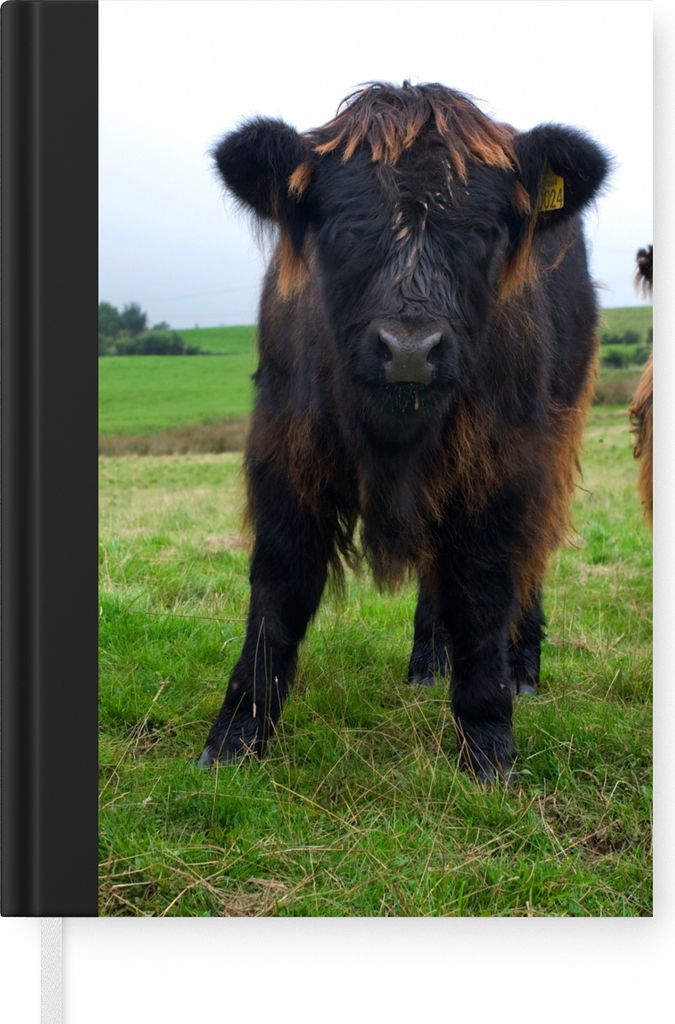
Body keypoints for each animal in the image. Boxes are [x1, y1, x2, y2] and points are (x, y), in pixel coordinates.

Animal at [199, 82, 609, 781]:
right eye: (344, 228)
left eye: (482, 232)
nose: (411, 351)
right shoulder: (285, 452)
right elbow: (279, 589)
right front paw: (236, 734)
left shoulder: (502, 466)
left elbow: (484, 590)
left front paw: (489, 743)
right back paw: (427, 660)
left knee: (530, 558)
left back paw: (523, 667)